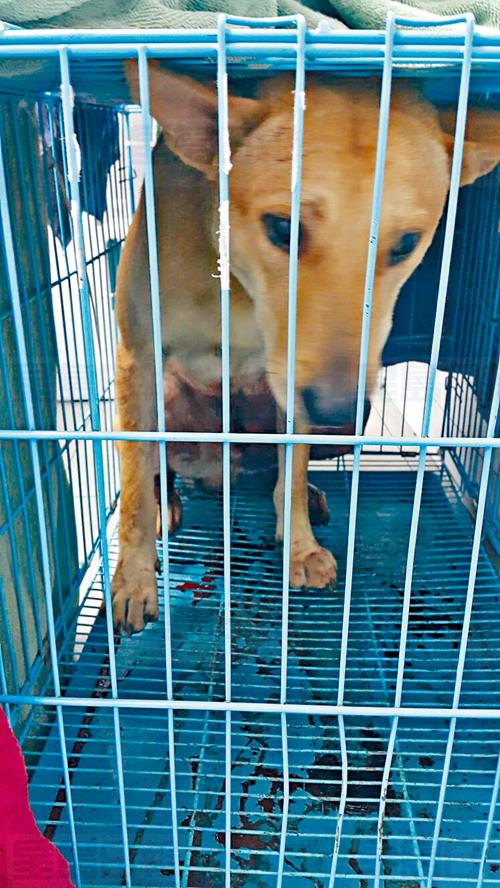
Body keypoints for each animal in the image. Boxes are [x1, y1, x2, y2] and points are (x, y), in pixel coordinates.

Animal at [111, 63, 499, 635]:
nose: (337, 410)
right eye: (282, 227)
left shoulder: (291, 391)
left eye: (407, 243)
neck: (236, 287)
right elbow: (135, 487)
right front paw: (134, 578)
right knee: (159, 467)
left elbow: (290, 472)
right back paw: (169, 500)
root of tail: (218, 473)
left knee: (276, 470)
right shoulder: (137, 358)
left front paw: (299, 546)